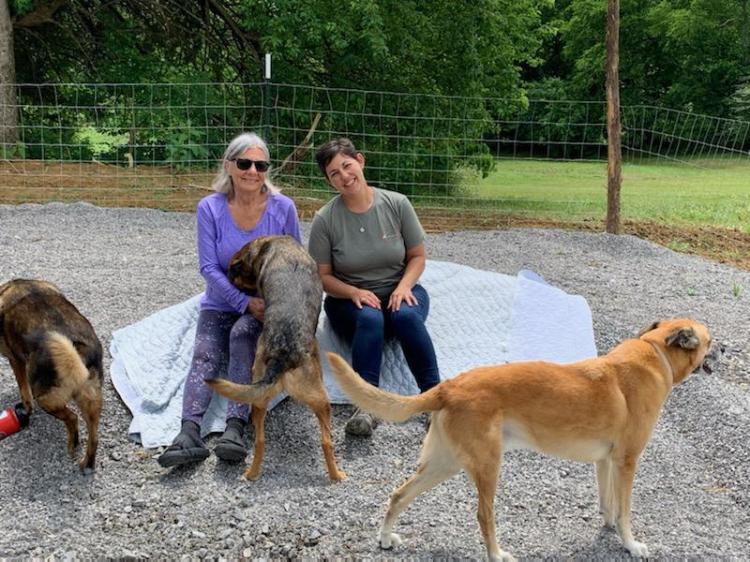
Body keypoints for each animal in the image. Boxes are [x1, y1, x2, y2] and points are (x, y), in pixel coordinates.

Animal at [0, 279, 103, 471]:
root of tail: (76, 349)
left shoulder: (16, 361)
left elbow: (24, 390)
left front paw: (25, 410)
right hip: (92, 400)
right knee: (94, 438)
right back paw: (86, 464)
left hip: (46, 398)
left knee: (72, 418)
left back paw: (73, 444)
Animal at [206, 235, 346, 482]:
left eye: (233, 275)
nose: (230, 282)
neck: (268, 245)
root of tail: (282, 355)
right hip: (322, 400)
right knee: (326, 442)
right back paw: (337, 475)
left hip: (259, 400)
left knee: (260, 441)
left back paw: (252, 474)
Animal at [327, 318, 717, 560]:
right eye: (710, 339)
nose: (726, 350)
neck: (656, 352)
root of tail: (449, 385)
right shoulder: (627, 462)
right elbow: (625, 512)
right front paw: (631, 545)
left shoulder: (605, 462)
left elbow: (609, 504)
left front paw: (607, 529)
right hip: (487, 467)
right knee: (483, 515)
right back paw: (496, 554)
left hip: (443, 464)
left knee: (398, 494)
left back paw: (385, 538)